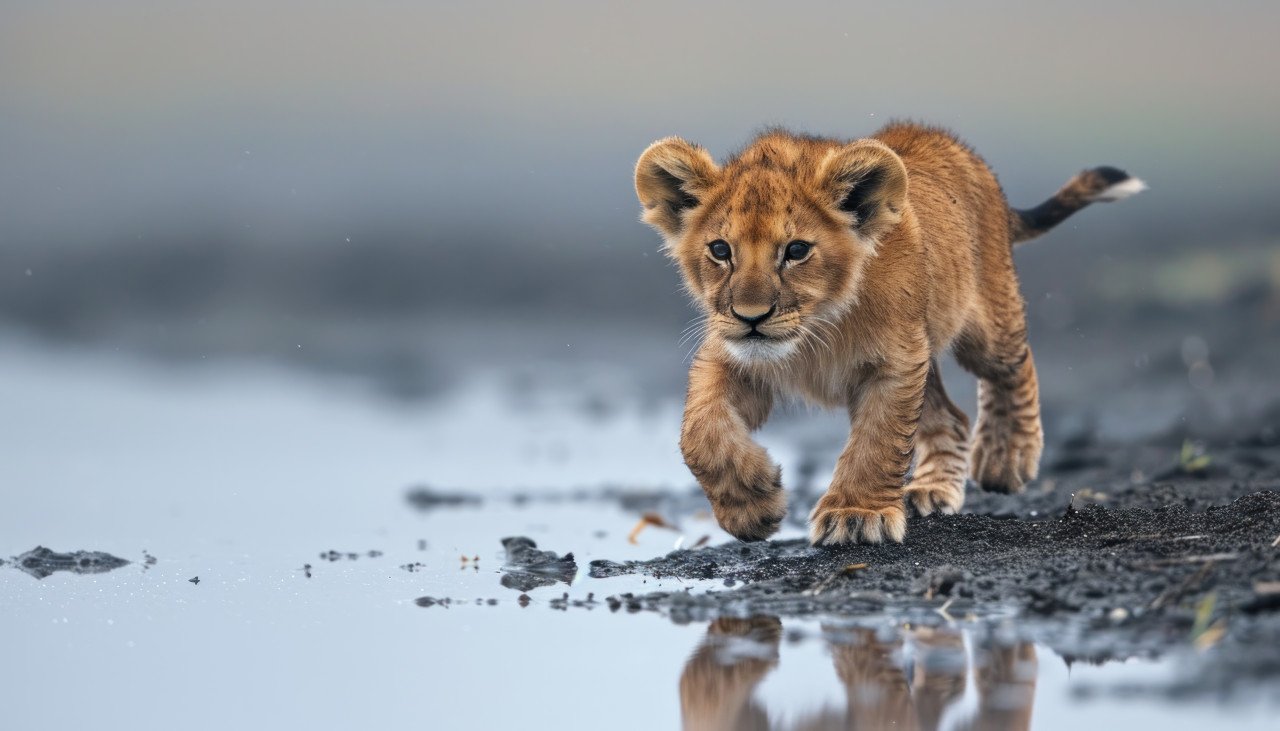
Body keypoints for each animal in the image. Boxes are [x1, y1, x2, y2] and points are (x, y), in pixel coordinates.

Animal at [634, 122, 1144, 545]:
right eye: (720, 250)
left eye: (796, 250)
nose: (751, 316)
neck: (817, 328)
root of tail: (963, 152)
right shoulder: (731, 354)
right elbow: (699, 432)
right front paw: (752, 505)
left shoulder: (895, 363)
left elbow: (878, 441)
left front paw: (857, 515)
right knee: (951, 417)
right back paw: (933, 489)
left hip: (984, 324)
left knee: (1012, 365)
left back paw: (1007, 456)